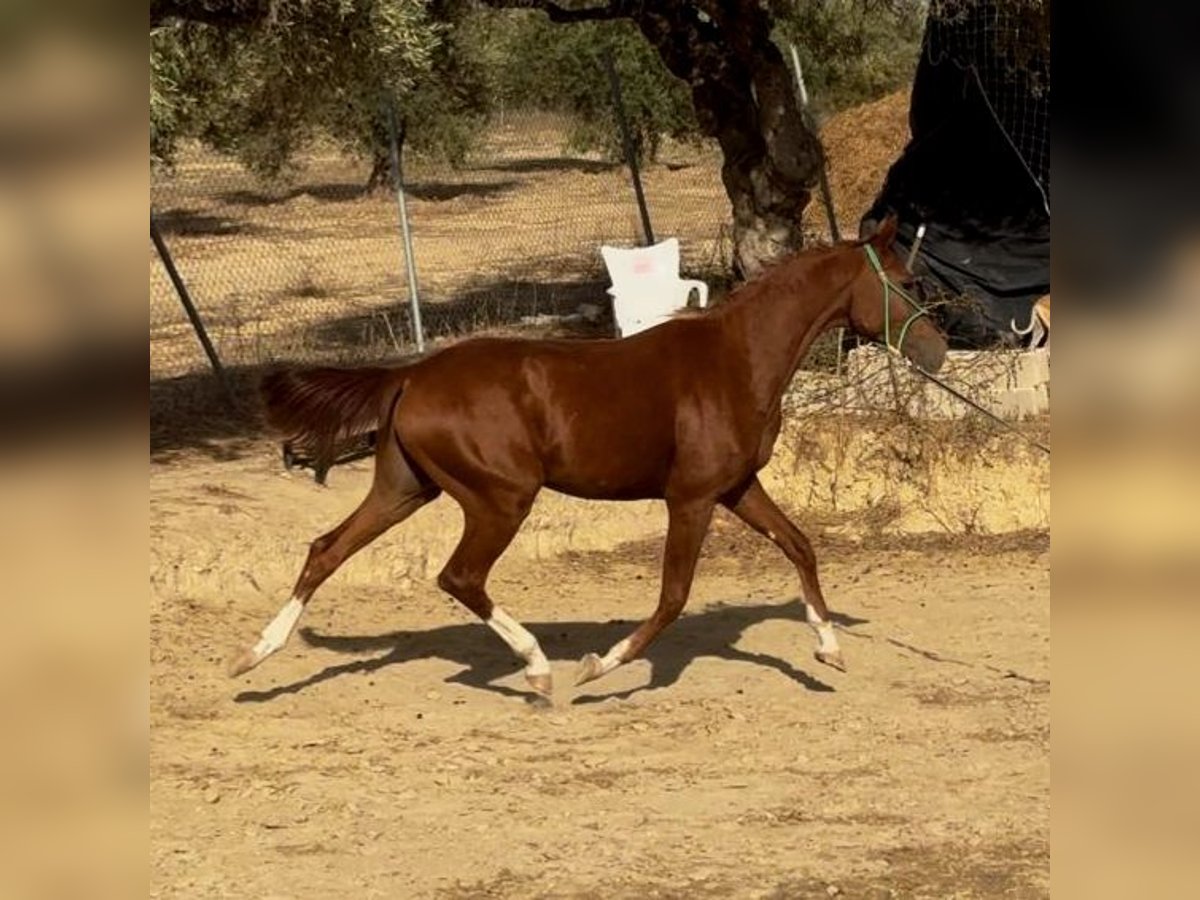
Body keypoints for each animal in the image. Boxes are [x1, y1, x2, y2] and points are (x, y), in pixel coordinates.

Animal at [229, 217, 945, 696]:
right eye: (908, 282)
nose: (936, 351)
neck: (736, 359)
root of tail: (411, 375)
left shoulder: (738, 487)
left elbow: (800, 546)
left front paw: (829, 649)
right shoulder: (691, 498)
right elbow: (673, 595)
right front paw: (602, 664)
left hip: (404, 489)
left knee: (327, 549)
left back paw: (255, 655)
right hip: (501, 499)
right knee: (459, 577)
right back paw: (540, 668)